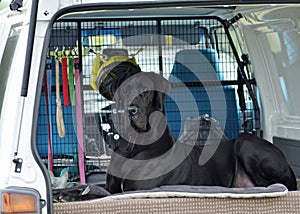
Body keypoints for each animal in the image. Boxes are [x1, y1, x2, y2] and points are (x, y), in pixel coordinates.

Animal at [101, 71, 298, 193]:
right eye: (124, 90)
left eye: (146, 91)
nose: (131, 110)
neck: (133, 146)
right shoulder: (111, 189)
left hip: (245, 140)